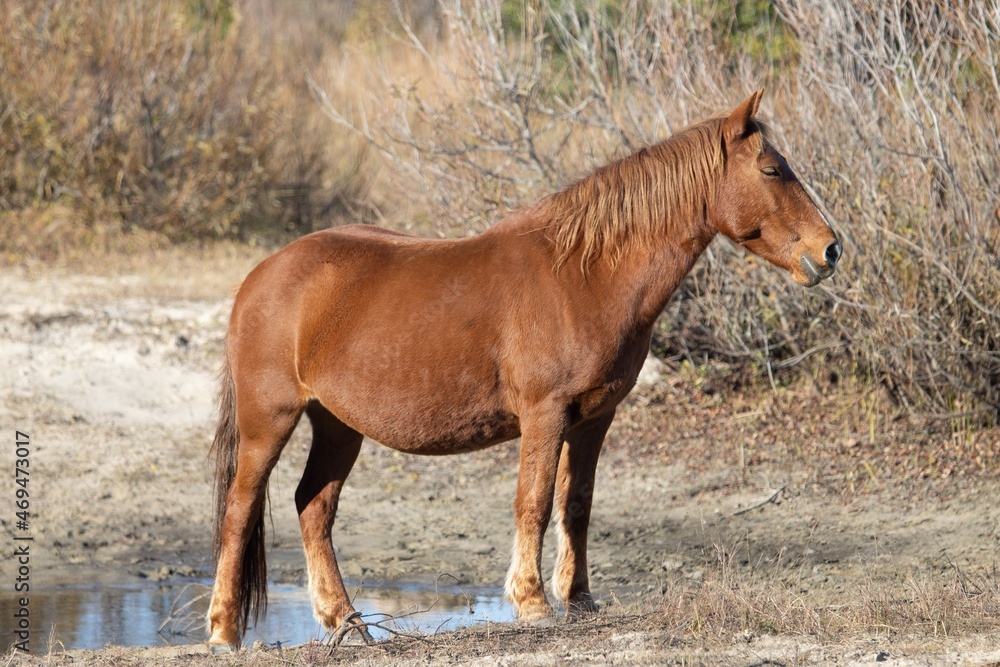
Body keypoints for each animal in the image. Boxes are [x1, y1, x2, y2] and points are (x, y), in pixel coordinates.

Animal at [206, 89, 842, 648]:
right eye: (771, 170)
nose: (831, 249)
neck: (584, 275)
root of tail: (261, 275)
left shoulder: (594, 419)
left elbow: (575, 504)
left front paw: (579, 600)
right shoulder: (545, 414)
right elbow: (533, 501)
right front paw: (532, 602)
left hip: (338, 426)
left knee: (314, 508)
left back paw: (346, 623)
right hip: (270, 423)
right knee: (240, 512)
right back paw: (224, 631)